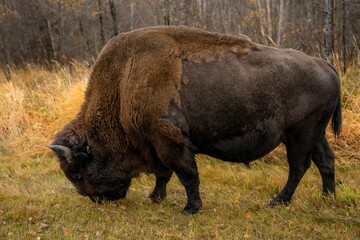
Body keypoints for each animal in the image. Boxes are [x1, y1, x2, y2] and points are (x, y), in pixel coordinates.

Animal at [49, 26, 342, 216]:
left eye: (77, 172)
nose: (96, 198)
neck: (124, 81)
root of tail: (325, 65)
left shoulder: (170, 141)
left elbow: (186, 174)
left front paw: (189, 209)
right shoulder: (157, 145)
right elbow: (164, 174)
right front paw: (155, 197)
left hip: (299, 135)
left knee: (298, 167)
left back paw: (278, 202)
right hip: (316, 134)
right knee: (325, 160)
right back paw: (327, 198)